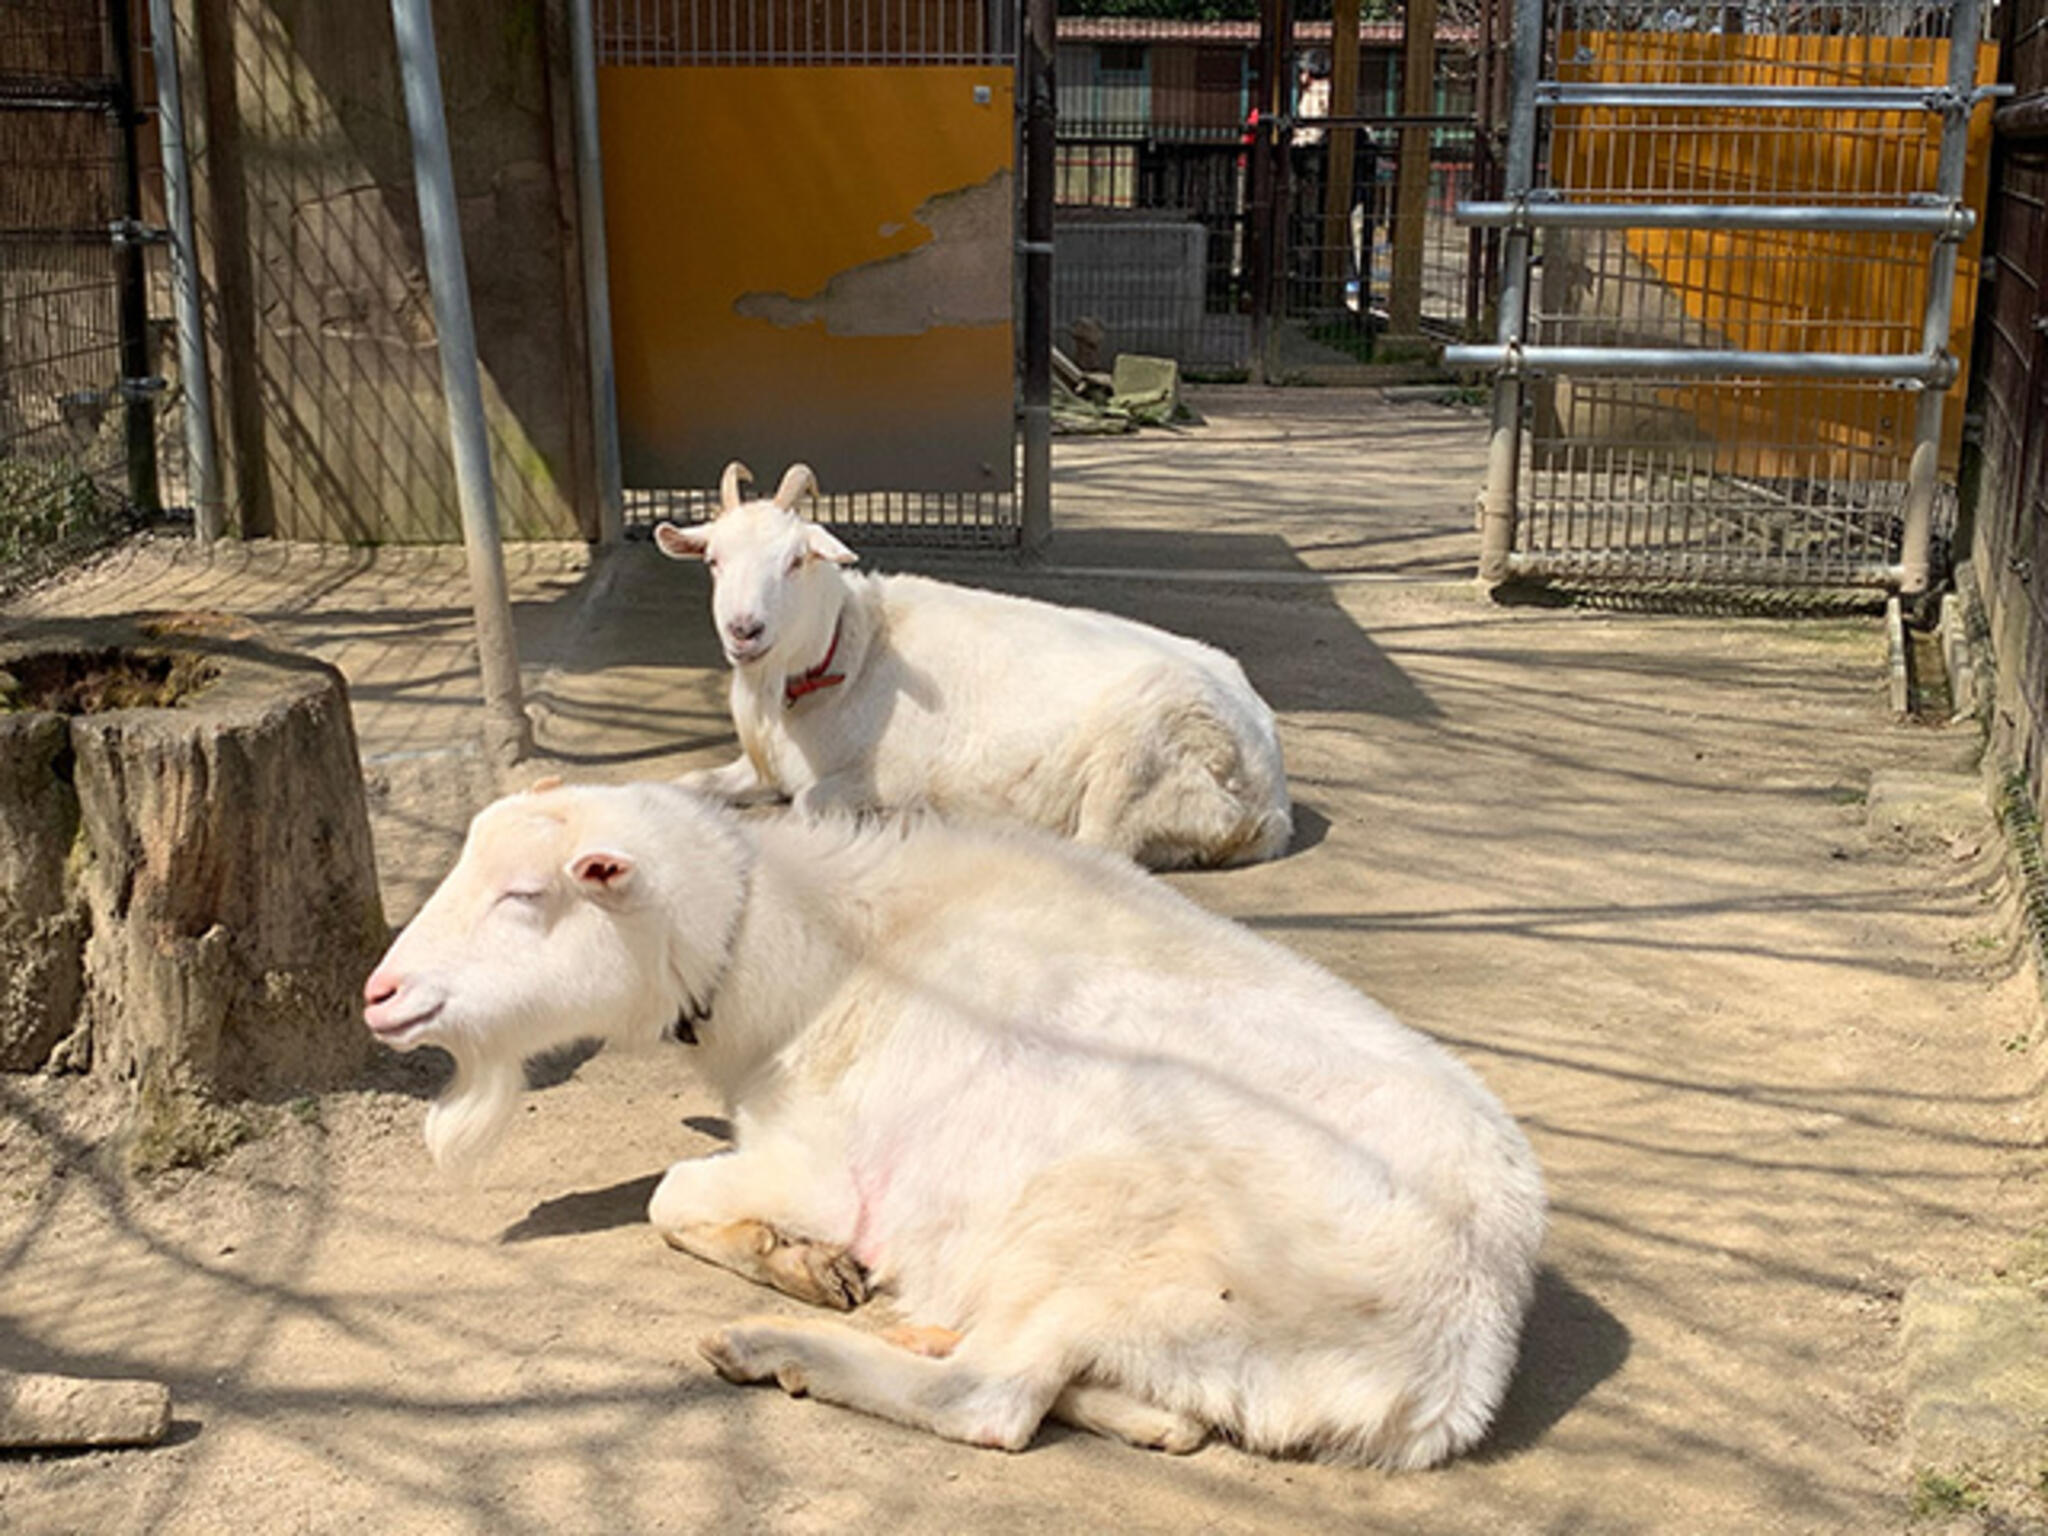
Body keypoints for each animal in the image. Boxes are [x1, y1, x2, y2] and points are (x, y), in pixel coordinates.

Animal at [364, 786, 1540, 1474]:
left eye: (525, 896)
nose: (377, 994)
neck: (806, 955)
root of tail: (1449, 1369)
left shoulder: (825, 1167)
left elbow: (670, 1192)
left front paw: (794, 1265)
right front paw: (801, 1263)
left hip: (1102, 1229)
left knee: (992, 1403)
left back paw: (783, 1350)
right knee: (1131, 1403)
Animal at [655, 462, 1294, 872]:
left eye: (796, 560)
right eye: (713, 560)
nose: (744, 630)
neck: (850, 654)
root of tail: (1269, 798)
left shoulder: (892, 776)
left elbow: (809, 805)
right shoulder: (762, 767)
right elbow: (688, 784)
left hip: (1136, 766)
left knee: (1101, 850)